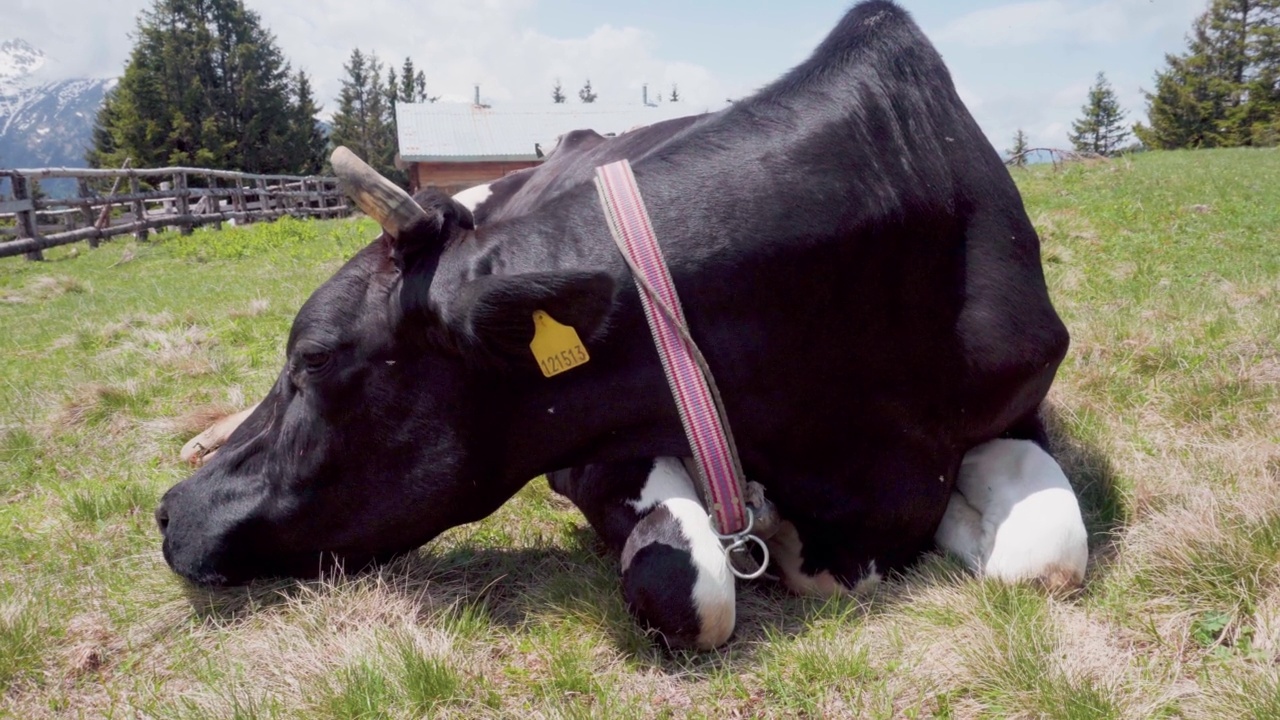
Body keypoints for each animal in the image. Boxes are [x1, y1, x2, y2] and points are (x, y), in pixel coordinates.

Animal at [154, 0, 1085, 648]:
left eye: (311, 362)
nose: (166, 514)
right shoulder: (588, 447)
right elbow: (693, 582)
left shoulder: (1014, 401)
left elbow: (1048, 555)